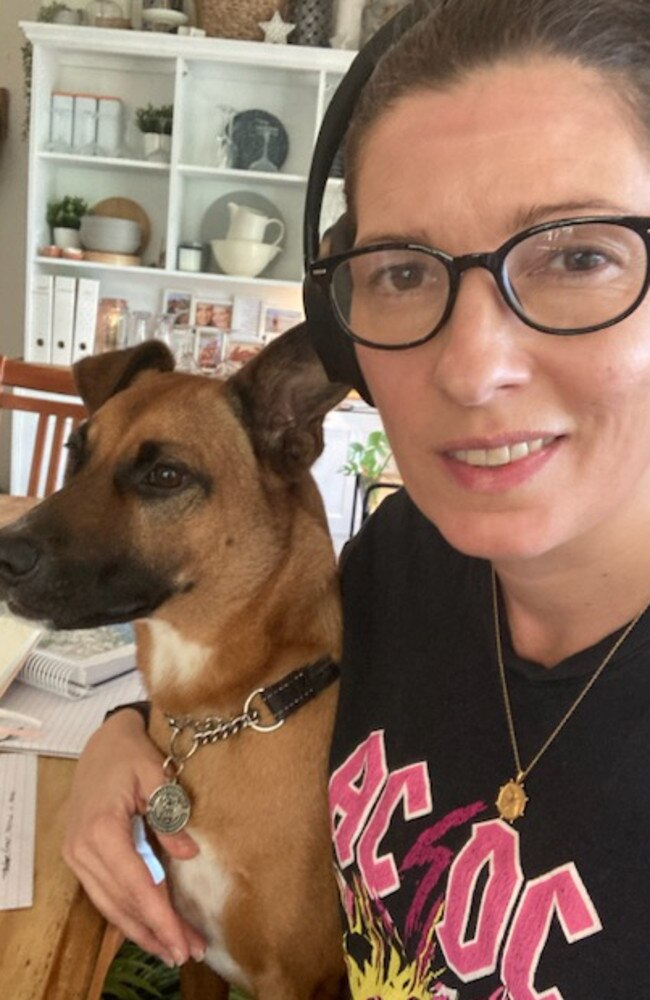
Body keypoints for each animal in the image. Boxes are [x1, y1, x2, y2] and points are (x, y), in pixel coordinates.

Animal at [0, 326, 350, 992]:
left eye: (165, 475)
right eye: (74, 452)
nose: (1, 554)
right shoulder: (198, 959)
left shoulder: (292, 982)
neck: (226, 711)